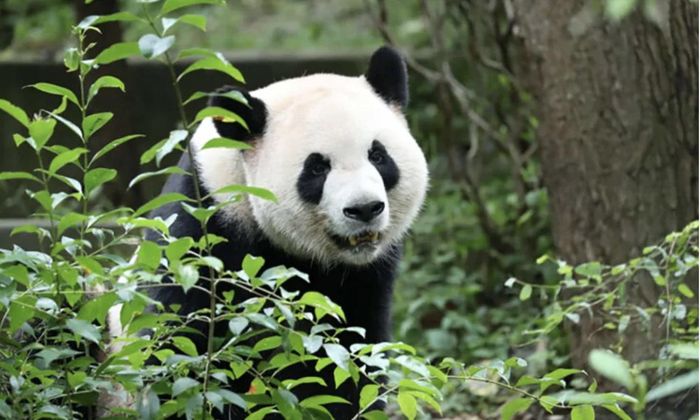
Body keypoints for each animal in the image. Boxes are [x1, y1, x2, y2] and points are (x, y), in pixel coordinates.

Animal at [113, 46, 428, 418]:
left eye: (378, 156)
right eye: (317, 168)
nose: (364, 209)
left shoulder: (364, 277)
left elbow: (347, 354)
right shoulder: (201, 227)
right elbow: (175, 342)